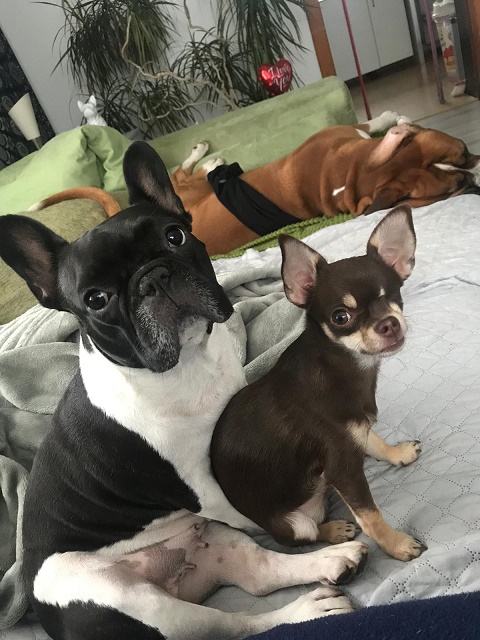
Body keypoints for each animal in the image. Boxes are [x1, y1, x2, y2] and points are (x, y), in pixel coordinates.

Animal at [0, 142, 368, 640]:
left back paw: (330, 564)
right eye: (96, 299)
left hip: (213, 540)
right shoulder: (208, 488)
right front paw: (311, 515)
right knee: (235, 623)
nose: (152, 277)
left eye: (175, 237)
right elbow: (263, 511)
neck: (185, 365)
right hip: (140, 603)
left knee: (259, 574)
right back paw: (309, 608)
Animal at [211, 205, 428, 562]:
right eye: (341, 317)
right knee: (307, 535)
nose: (390, 324)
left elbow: (374, 441)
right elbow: (371, 516)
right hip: (295, 524)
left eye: (394, 296)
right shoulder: (343, 468)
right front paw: (396, 544)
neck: (346, 368)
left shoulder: (353, 432)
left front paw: (396, 453)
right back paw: (335, 530)